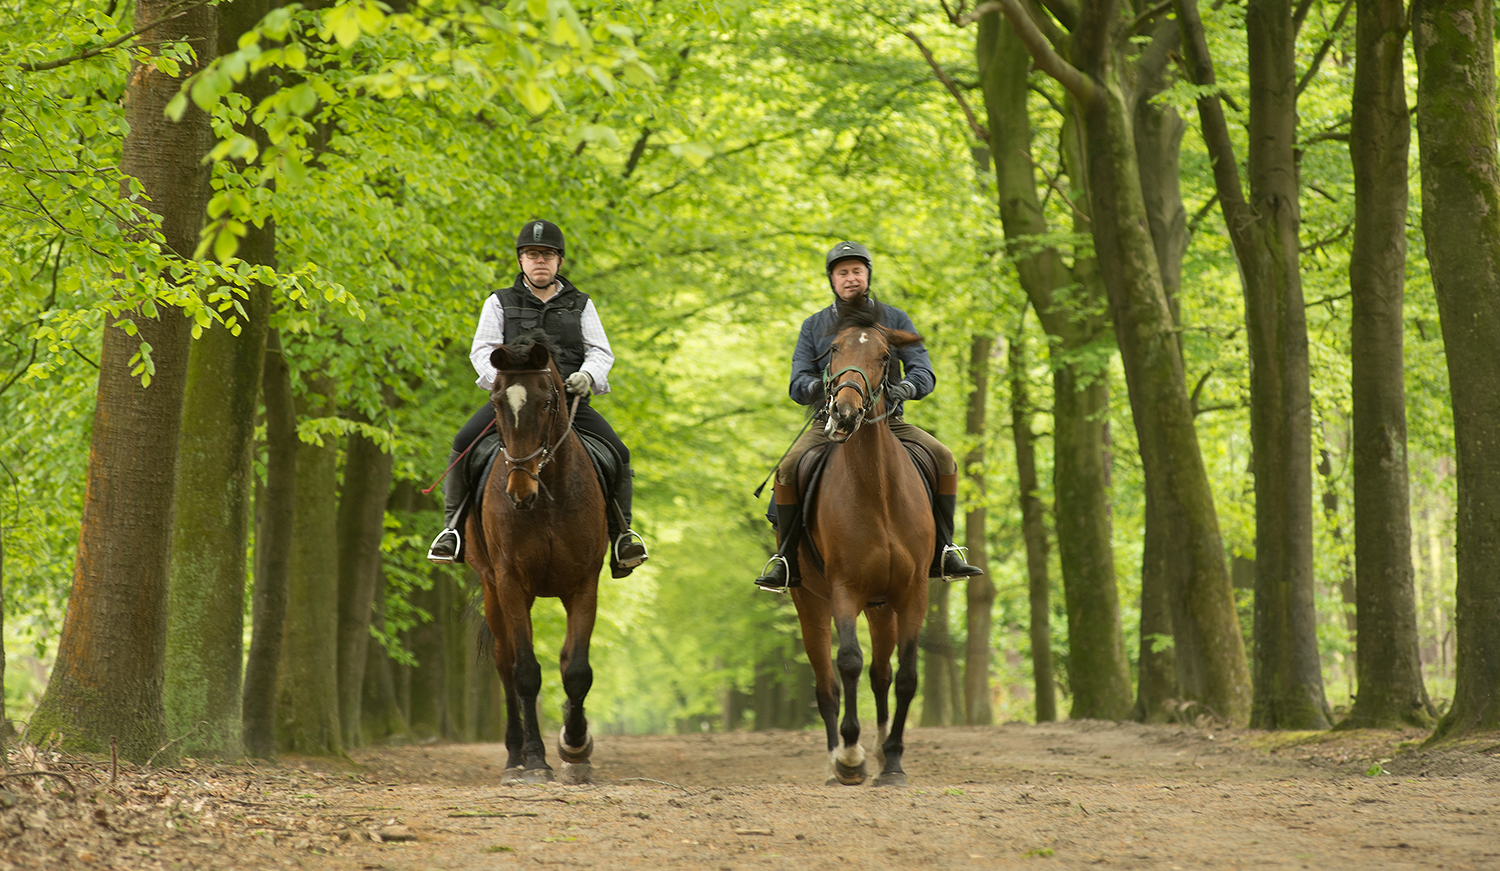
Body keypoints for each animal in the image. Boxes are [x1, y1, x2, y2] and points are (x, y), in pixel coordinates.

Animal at [468, 335, 609, 785]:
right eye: (496, 403)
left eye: (548, 402)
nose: (519, 491)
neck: (547, 497)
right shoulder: (511, 582)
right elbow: (526, 672)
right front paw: (534, 761)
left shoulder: (583, 584)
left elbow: (576, 669)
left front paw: (576, 747)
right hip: (491, 587)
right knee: (505, 663)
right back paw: (514, 755)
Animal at [792, 307, 930, 785]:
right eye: (834, 349)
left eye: (886, 356)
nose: (845, 413)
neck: (877, 490)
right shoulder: (844, 590)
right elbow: (848, 661)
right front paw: (851, 757)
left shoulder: (912, 593)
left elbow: (905, 677)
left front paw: (893, 760)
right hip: (810, 603)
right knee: (826, 683)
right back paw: (836, 760)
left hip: (882, 607)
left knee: (881, 673)